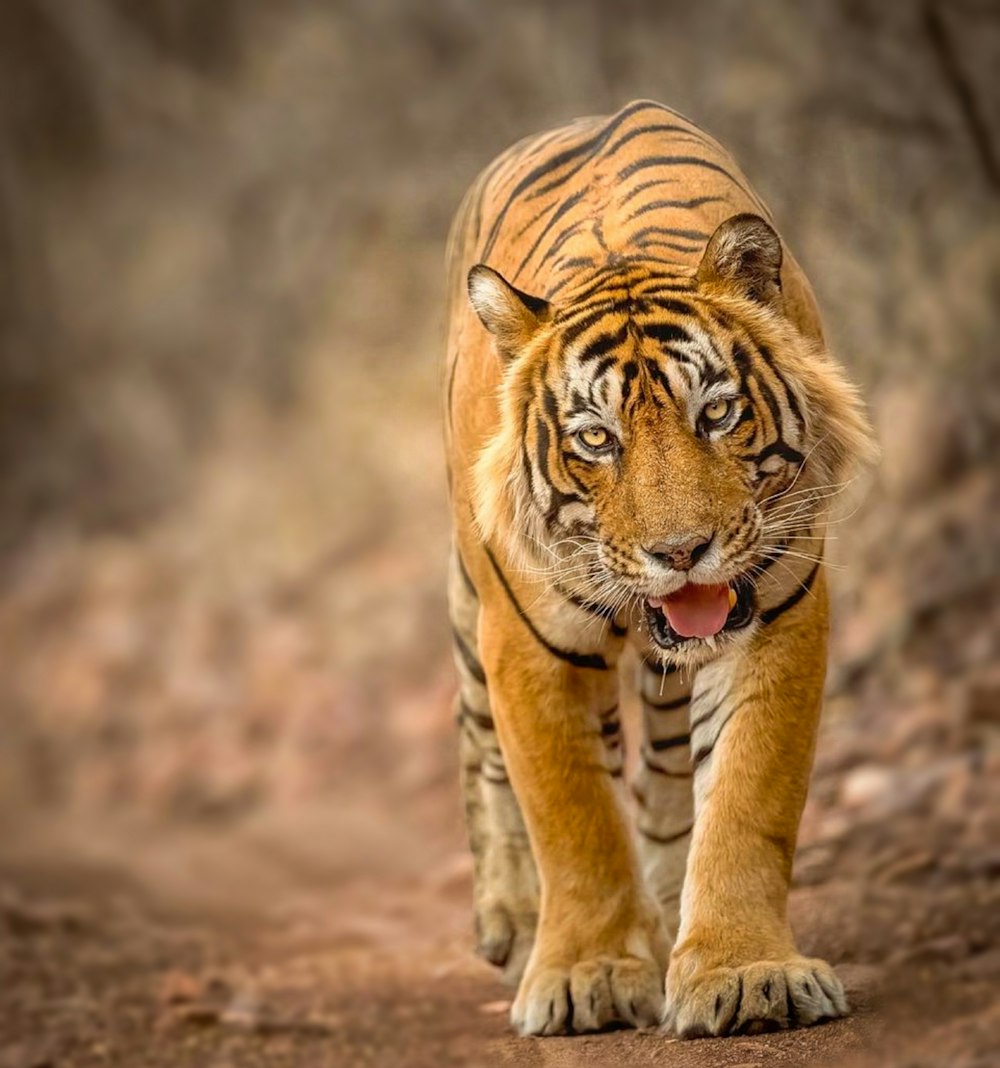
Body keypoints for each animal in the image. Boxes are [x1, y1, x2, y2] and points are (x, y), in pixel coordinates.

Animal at [444, 100, 876, 1033]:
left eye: (715, 414)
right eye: (595, 438)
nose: (680, 554)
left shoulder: (780, 609)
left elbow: (748, 795)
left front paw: (744, 972)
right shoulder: (526, 642)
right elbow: (573, 816)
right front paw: (588, 976)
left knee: (672, 764)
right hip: (470, 596)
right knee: (478, 737)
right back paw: (512, 919)